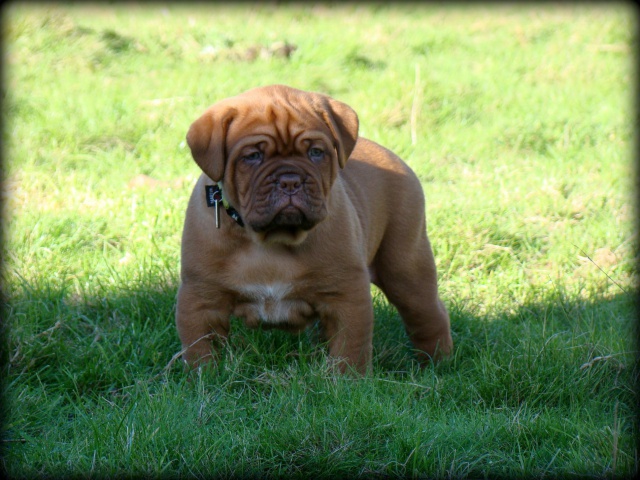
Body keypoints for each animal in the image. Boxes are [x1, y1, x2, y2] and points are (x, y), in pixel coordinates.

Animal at [175, 84, 452, 374]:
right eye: (252, 156)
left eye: (316, 153)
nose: (290, 180)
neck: (270, 241)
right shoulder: (201, 300)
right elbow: (200, 350)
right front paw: (204, 378)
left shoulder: (347, 295)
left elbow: (350, 347)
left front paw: (347, 379)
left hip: (406, 269)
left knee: (428, 315)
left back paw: (438, 364)